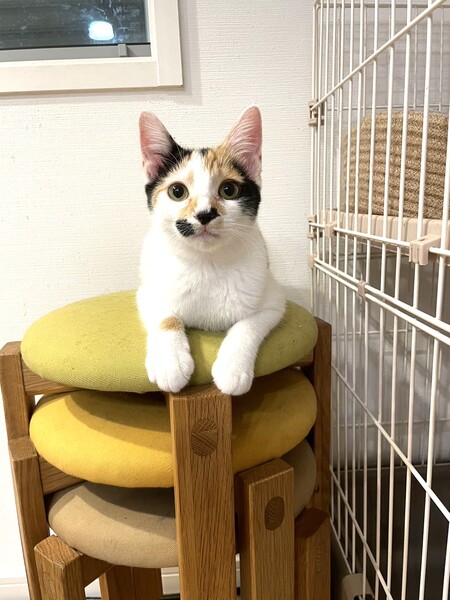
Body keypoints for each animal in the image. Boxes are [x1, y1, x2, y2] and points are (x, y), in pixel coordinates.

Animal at [137, 107, 285, 396]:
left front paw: (232, 369)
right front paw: (170, 363)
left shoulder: (275, 301)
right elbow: (164, 315)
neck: (207, 262)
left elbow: (248, 323)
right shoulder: (145, 292)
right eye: (177, 191)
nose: (205, 214)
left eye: (229, 190)